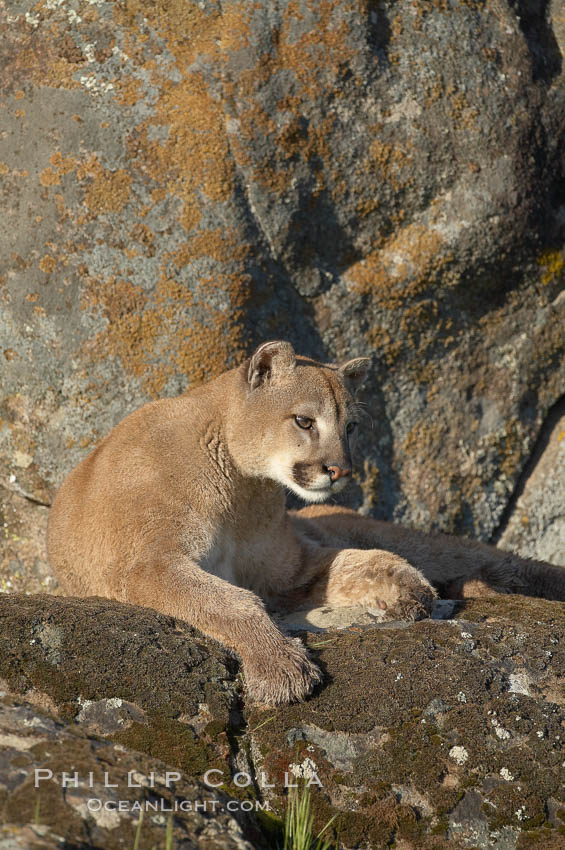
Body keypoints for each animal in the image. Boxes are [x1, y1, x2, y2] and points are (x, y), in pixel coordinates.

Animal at [48, 338, 564, 704]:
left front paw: (408, 587)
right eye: (304, 421)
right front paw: (281, 667)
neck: (242, 488)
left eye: (350, 427)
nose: (341, 470)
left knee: (495, 559)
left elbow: (359, 559)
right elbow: (229, 600)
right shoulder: (150, 563)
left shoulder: (289, 567)